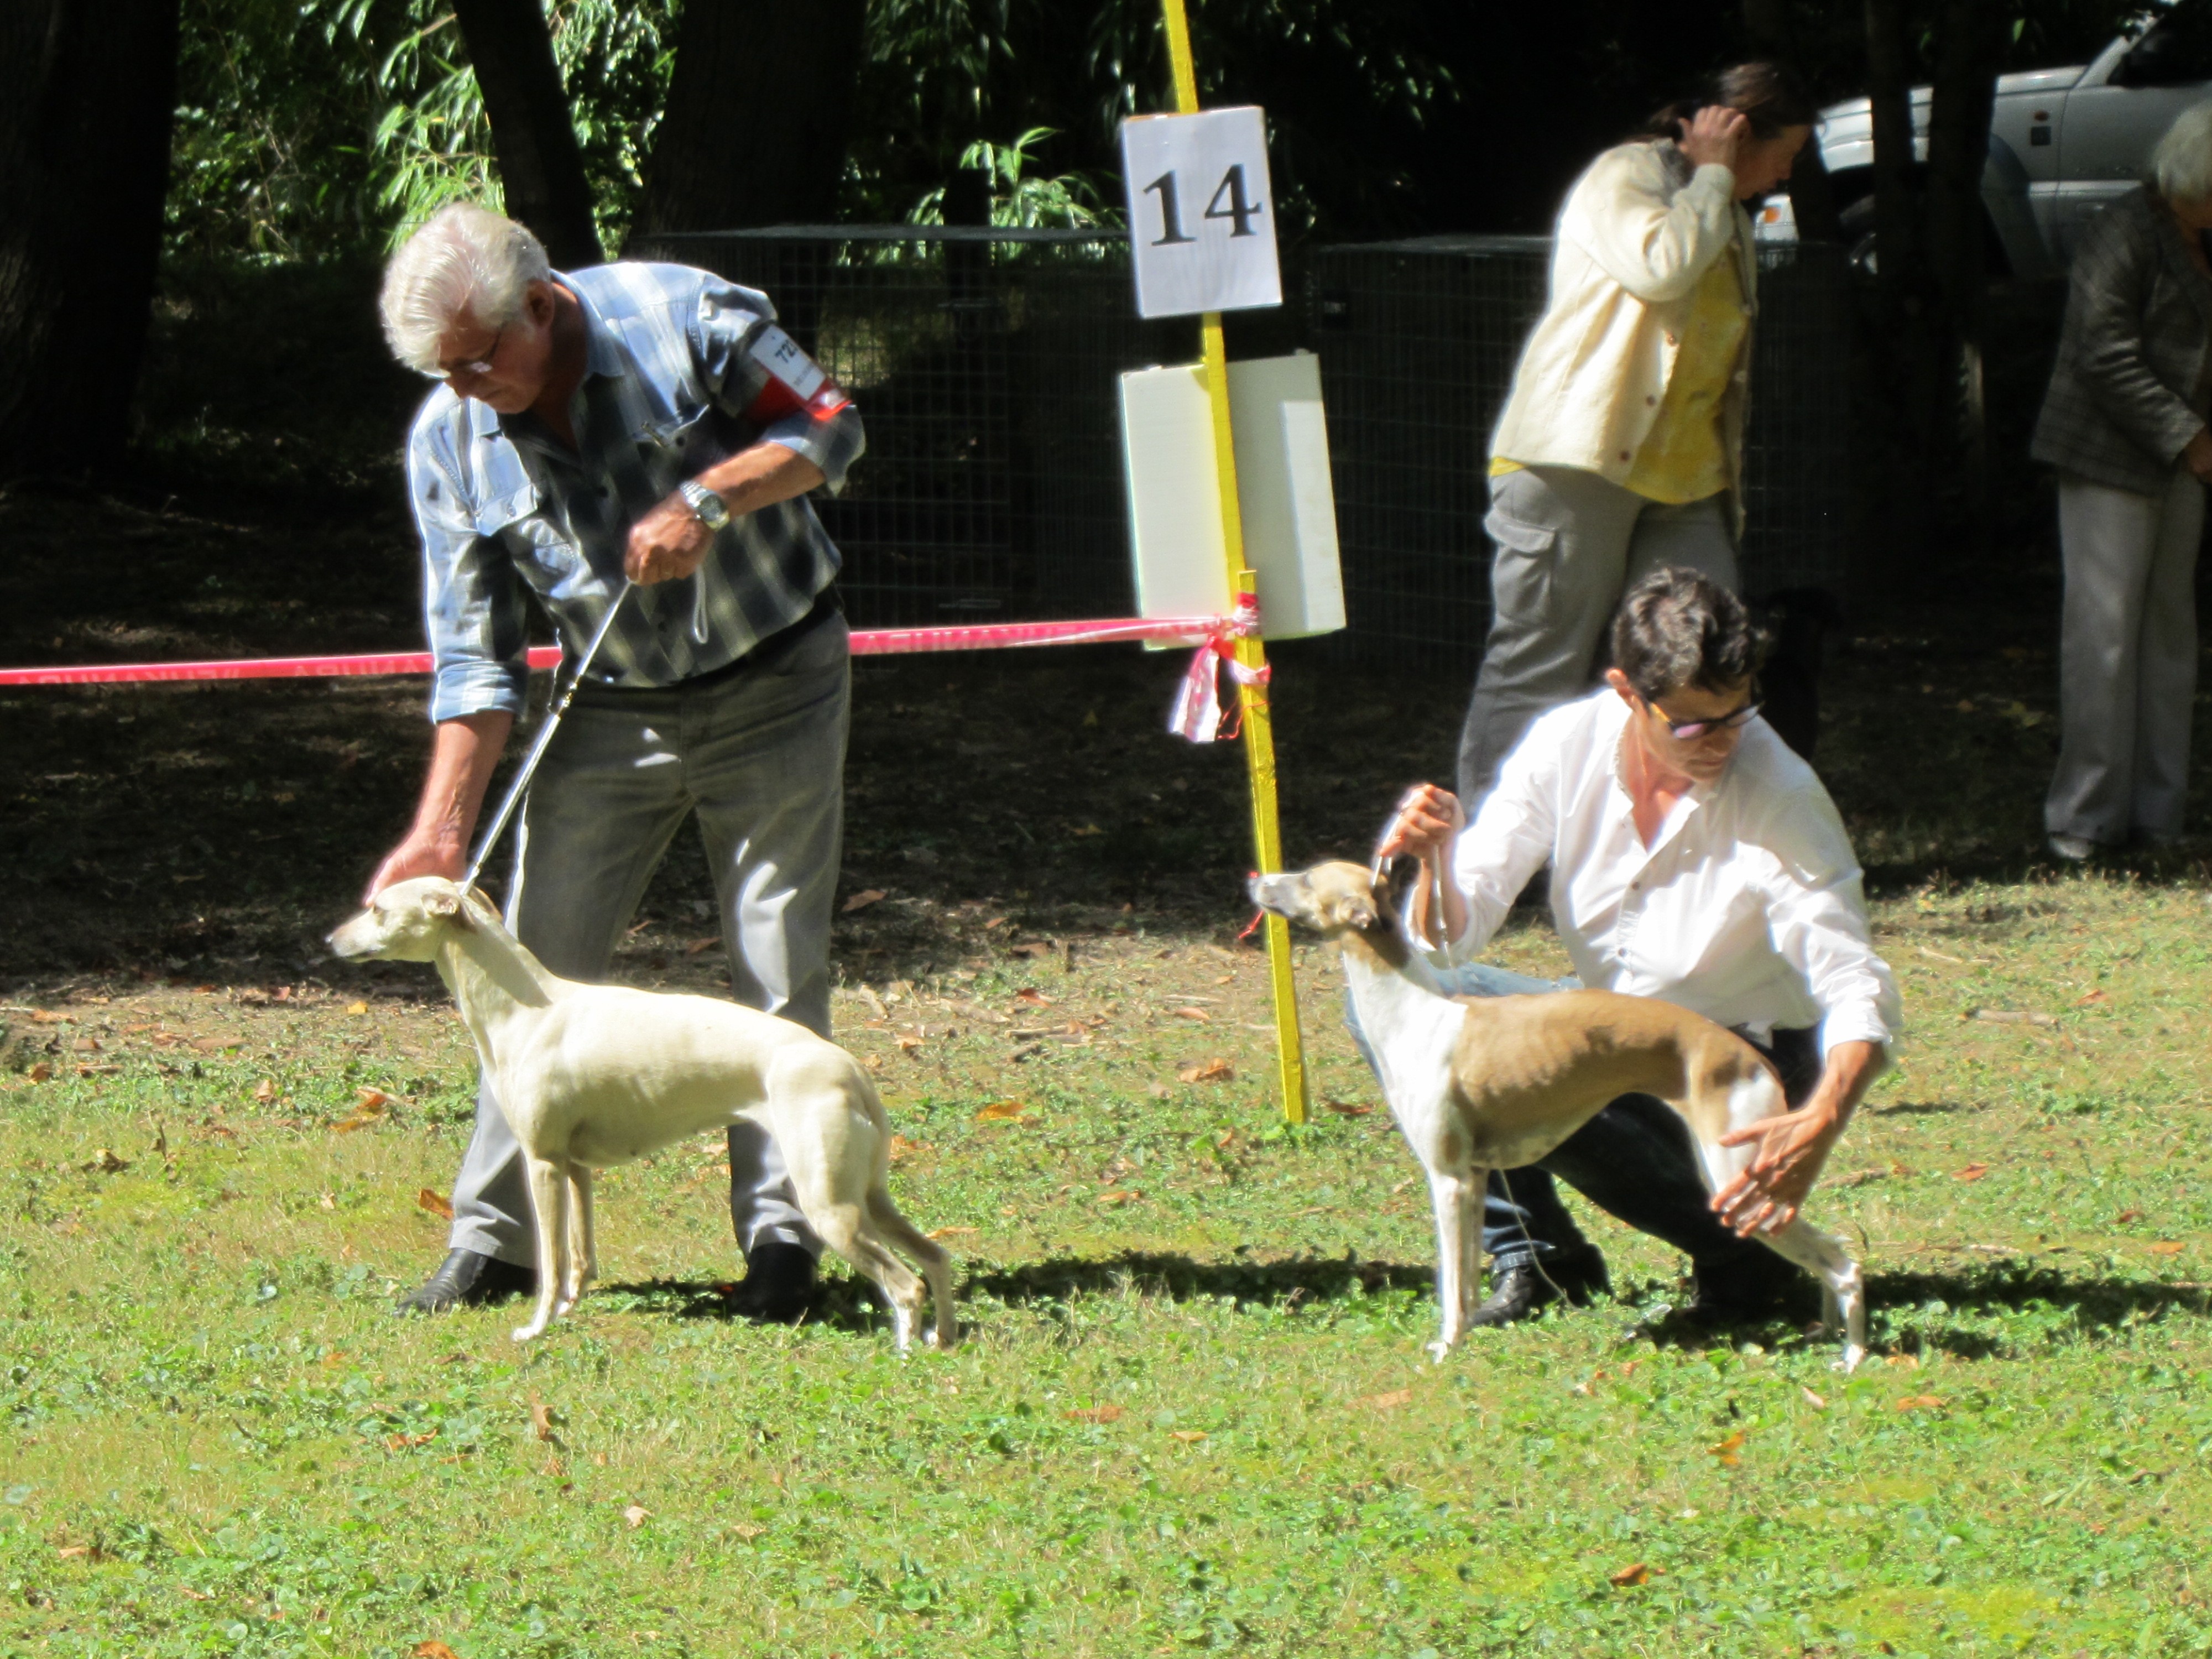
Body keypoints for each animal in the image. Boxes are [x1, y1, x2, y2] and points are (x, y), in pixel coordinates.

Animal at [327, 876, 951, 1354]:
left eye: (379, 909)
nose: (330, 940)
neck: (525, 1008)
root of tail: (851, 1068)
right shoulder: (576, 1168)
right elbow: (580, 1258)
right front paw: (568, 1312)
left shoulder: (543, 1162)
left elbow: (551, 1261)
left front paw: (536, 1327)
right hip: (867, 1195)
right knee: (936, 1257)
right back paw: (940, 1338)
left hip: (830, 1205)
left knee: (904, 1284)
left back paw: (903, 1349)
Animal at [1256, 863, 1858, 1371]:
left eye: (1307, 878)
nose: (1255, 880)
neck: (1411, 1010)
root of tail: (1753, 1059)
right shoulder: (1475, 1177)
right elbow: (1468, 1282)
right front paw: (1471, 1333)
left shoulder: (1447, 1179)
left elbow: (1451, 1286)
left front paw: (1447, 1349)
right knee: (1832, 1252)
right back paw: (1824, 1332)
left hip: (1736, 1175)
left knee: (1842, 1264)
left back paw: (1850, 1355)